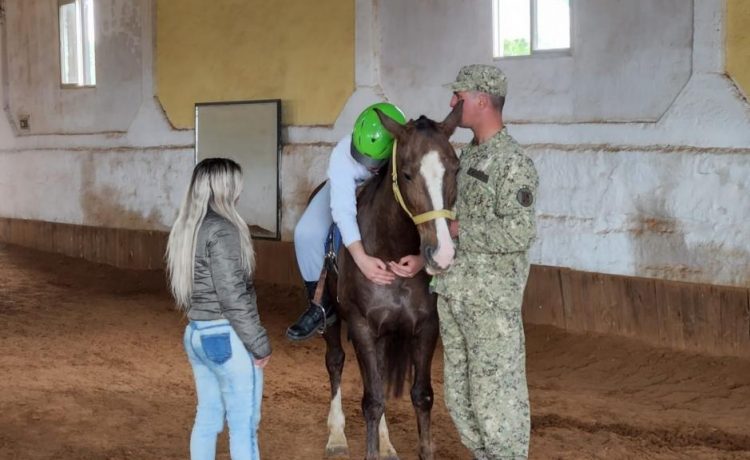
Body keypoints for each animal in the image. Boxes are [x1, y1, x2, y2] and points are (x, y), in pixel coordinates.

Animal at [322, 101, 463, 460]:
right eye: (409, 173)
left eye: (455, 169)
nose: (442, 253)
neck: (389, 248)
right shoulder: (361, 327)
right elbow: (372, 401)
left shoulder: (426, 326)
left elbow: (421, 396)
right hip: (330, 315)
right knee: (335, 362)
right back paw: (336, 435)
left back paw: (386, 443)